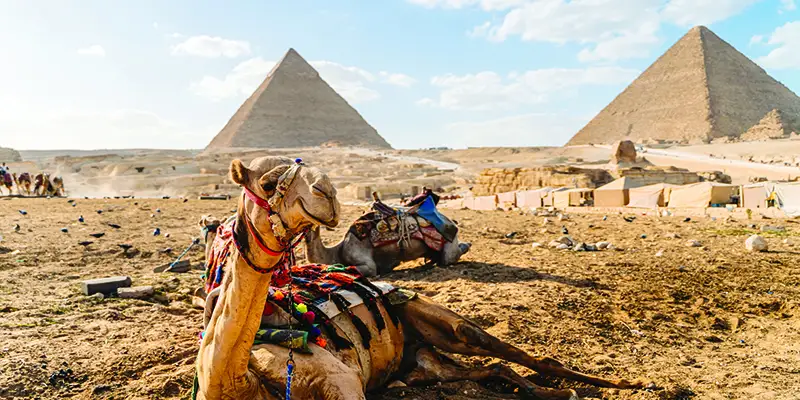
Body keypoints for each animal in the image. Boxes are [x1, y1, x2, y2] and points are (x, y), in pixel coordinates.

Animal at [194, 156, 651, 400]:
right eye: (269, 181)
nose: (327, 193)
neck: (240, 382)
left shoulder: (343, 384)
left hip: (441, 321)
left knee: (531, 357)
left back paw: (628, 381)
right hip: (423, 362)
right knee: (492, 371)